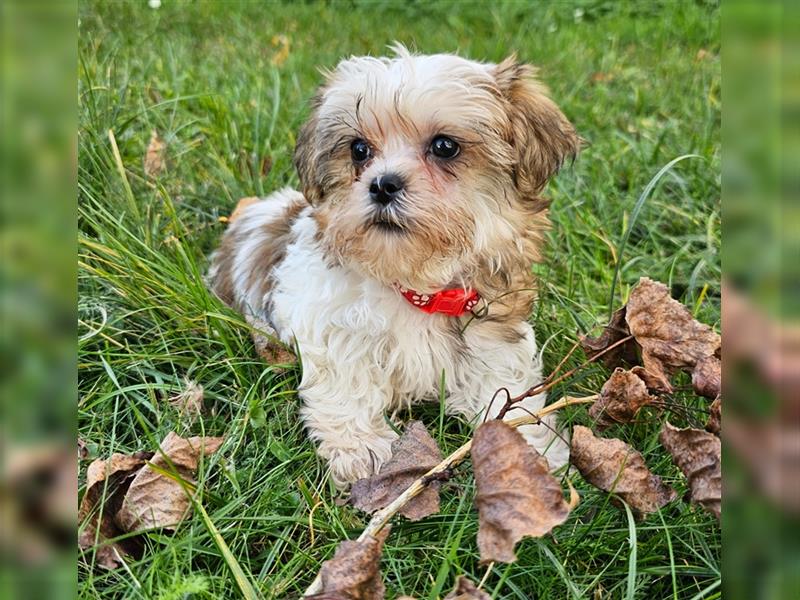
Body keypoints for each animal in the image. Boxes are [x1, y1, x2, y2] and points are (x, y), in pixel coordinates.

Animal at [206, 45, 580, 488]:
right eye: (359, 150)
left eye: (445, 146)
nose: (382, 184)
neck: (413, 283)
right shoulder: (330, 323)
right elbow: (346, 381)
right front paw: (363, 449)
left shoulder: (492, 330)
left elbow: (504, 387)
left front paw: (530, 448)